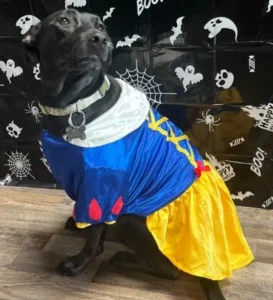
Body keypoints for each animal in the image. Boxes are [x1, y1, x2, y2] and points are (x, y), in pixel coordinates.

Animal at [21, 8, 231, 298]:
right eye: (64, 20)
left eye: (101, 25)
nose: (101, 39)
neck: (73, 102)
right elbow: (92, 222)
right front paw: (78, 226)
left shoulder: (102, 183)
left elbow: (94, 234)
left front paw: (79, 262)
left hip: (131, 220)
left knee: (171, 271)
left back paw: (123, 259)